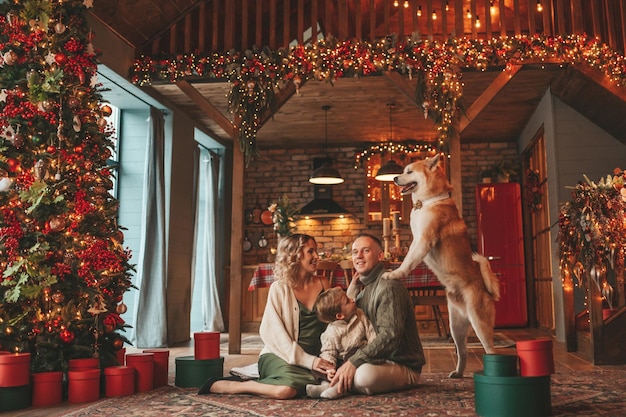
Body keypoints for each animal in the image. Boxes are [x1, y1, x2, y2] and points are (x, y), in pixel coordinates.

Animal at [380, 154, 498, 376]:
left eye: (409, 171)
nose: (394, 179)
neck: (427, 202)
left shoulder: (424, 240)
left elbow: (408, 261)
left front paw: (395, 273)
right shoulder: (416, 240)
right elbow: (408, 256)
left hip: (479, 323)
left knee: (491, 350)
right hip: (456, 326)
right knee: (463, 352)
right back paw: (458, 373)